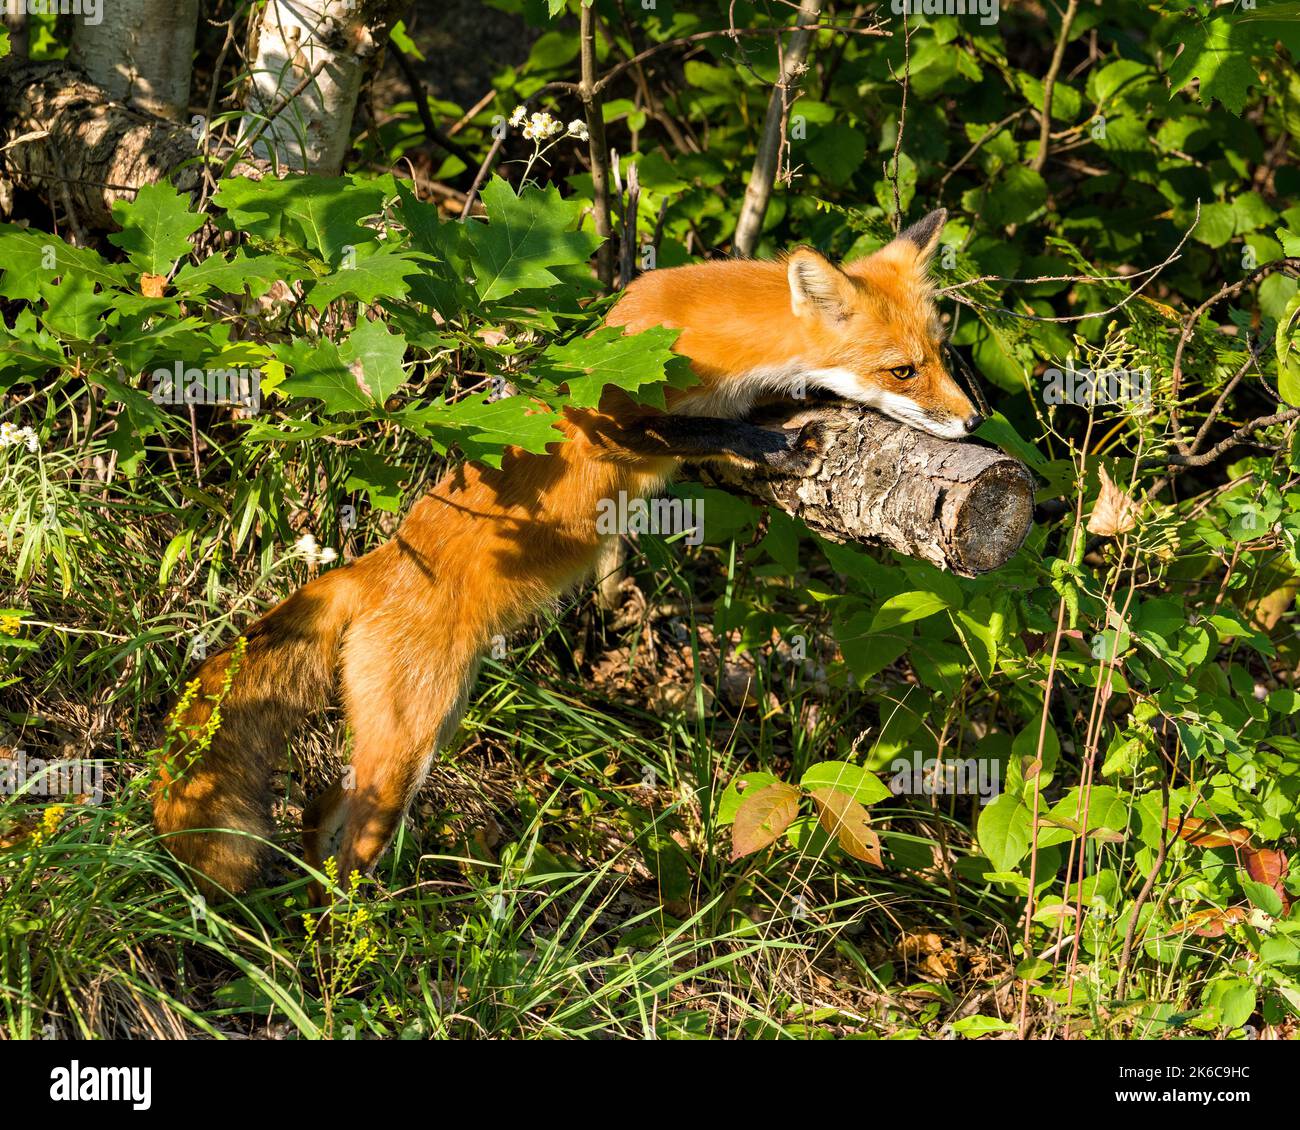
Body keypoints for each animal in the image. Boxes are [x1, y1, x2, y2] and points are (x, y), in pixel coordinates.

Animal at [152, 209, 977, 899]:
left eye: (941, 355)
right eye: (902, 370)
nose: (973, 421)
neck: (724, 348)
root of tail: (373, 566)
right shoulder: (602, 413)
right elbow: (693, 431)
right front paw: (769, 440)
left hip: (429, 723)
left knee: (324, 804)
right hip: (409, 744)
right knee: (353, 840)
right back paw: (354, 938)